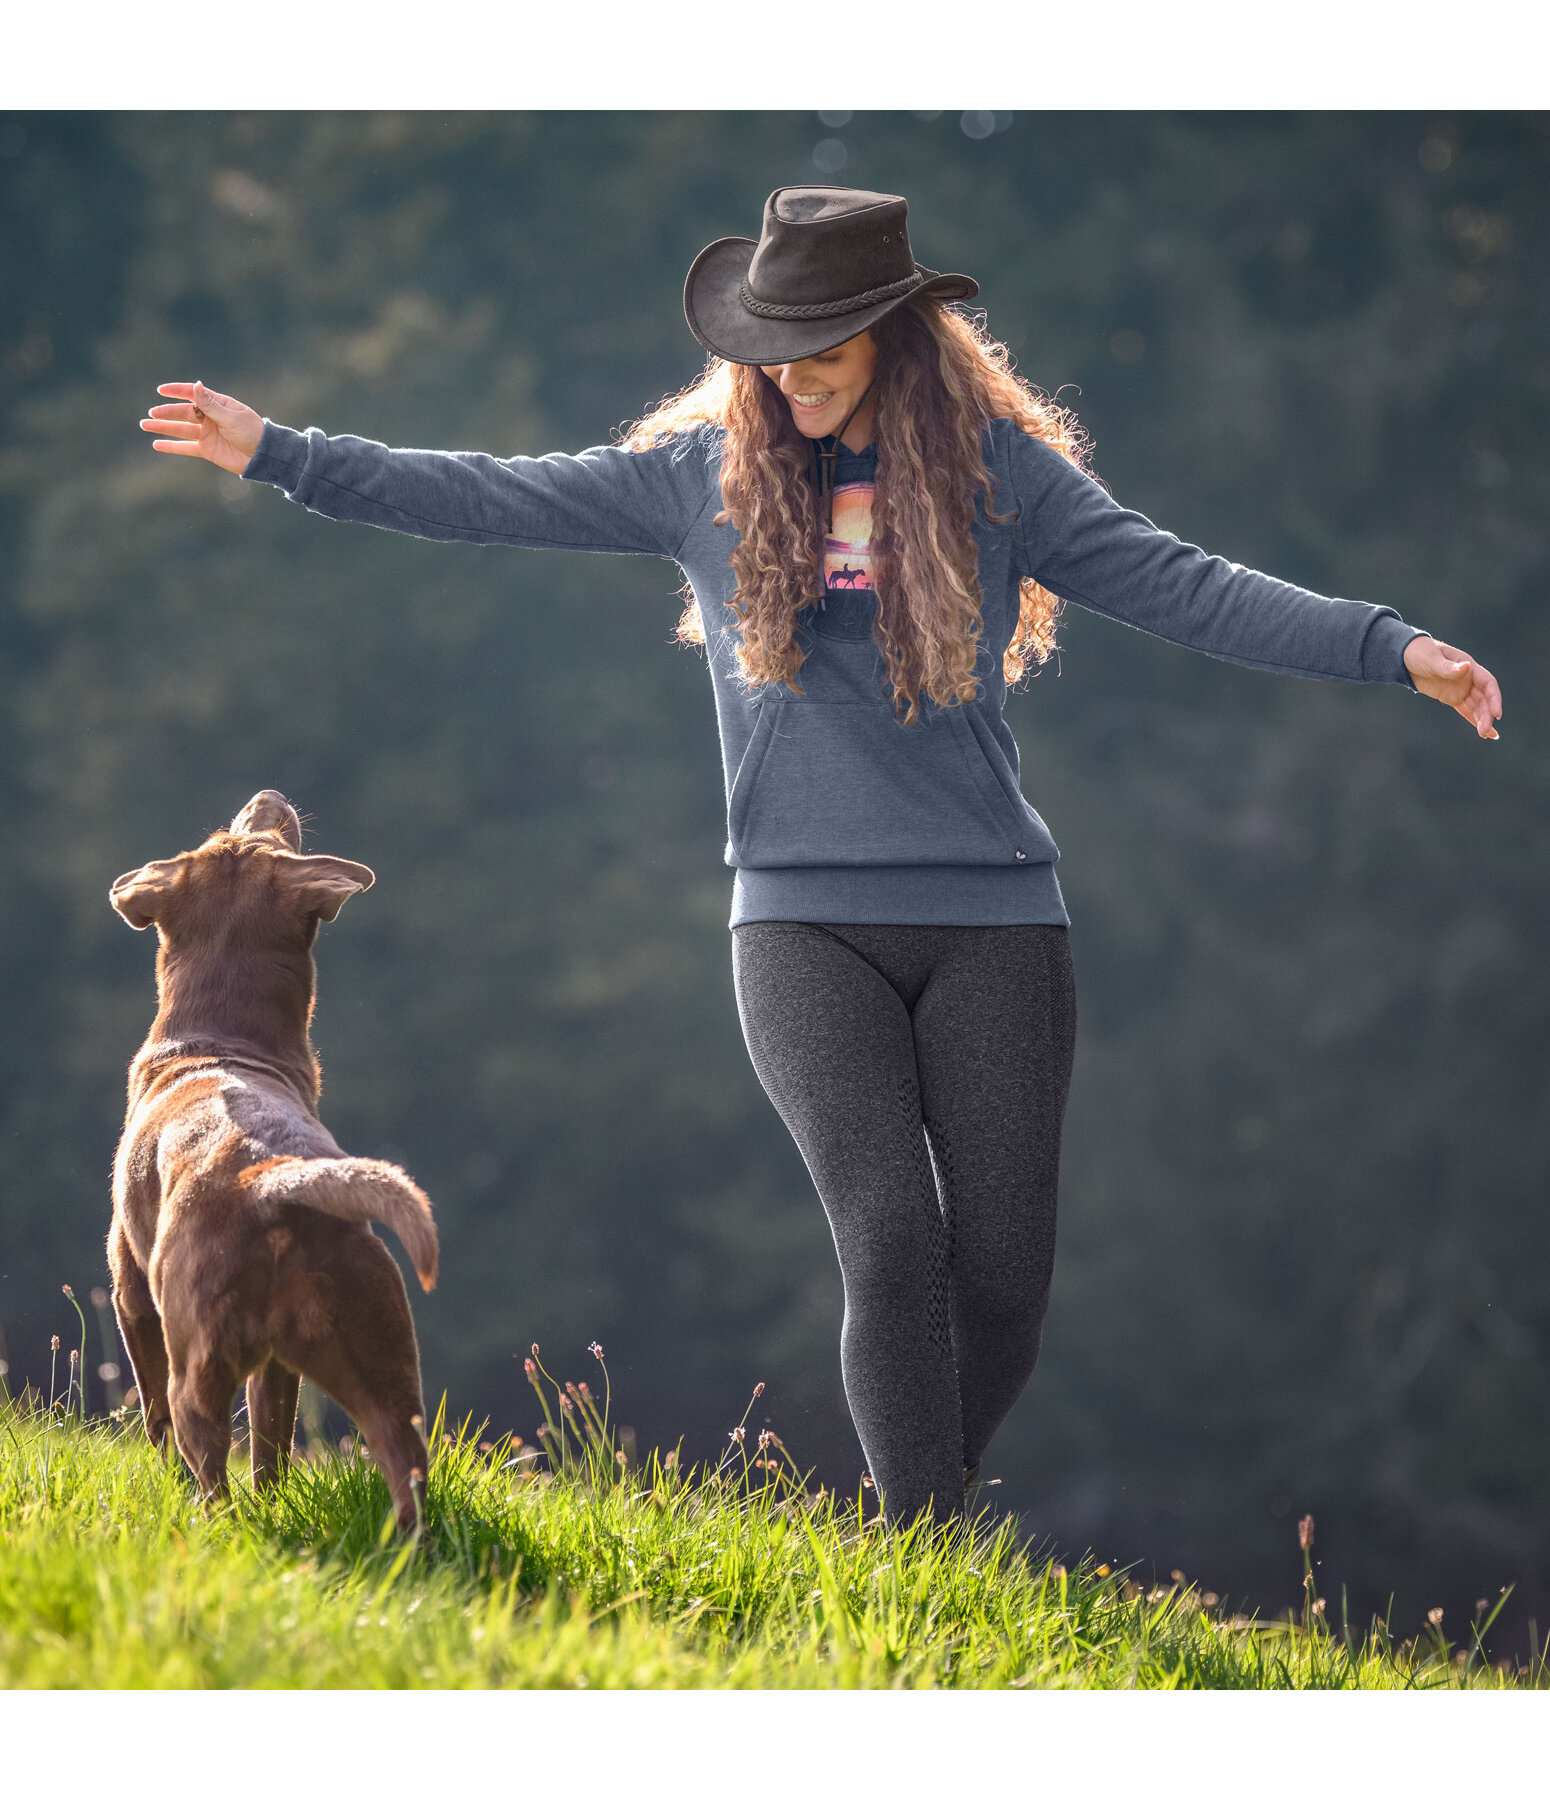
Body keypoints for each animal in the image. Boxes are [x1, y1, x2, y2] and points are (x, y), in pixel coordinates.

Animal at [108, 788, 435, 1519]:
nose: (269, 796)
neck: (221, 1039)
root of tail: (274, 1181)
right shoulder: (281, 1372)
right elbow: (272, 1449)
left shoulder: (129, 1286)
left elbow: (151, 1414)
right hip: (383, 1363)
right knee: (399, 1467)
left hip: (197, 1362)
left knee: (202, 1459)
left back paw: (214, 1523)